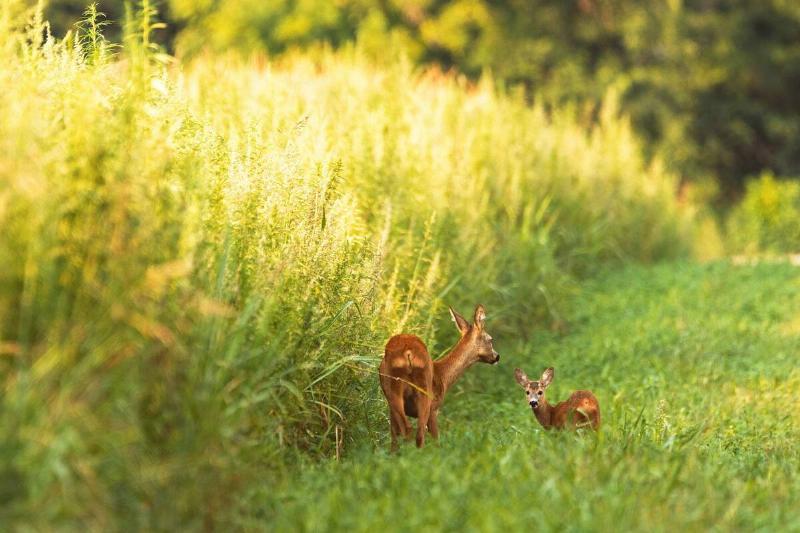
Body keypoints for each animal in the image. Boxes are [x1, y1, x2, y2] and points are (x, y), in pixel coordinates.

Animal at [378, 304, 499, 451]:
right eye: (490, 339)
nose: (497, 356)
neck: (442, 375)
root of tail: (407, 352)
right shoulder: (434, 408)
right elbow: (436, 439)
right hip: (425, 394)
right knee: (417, 433)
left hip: (392, 393)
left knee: (401, 434)